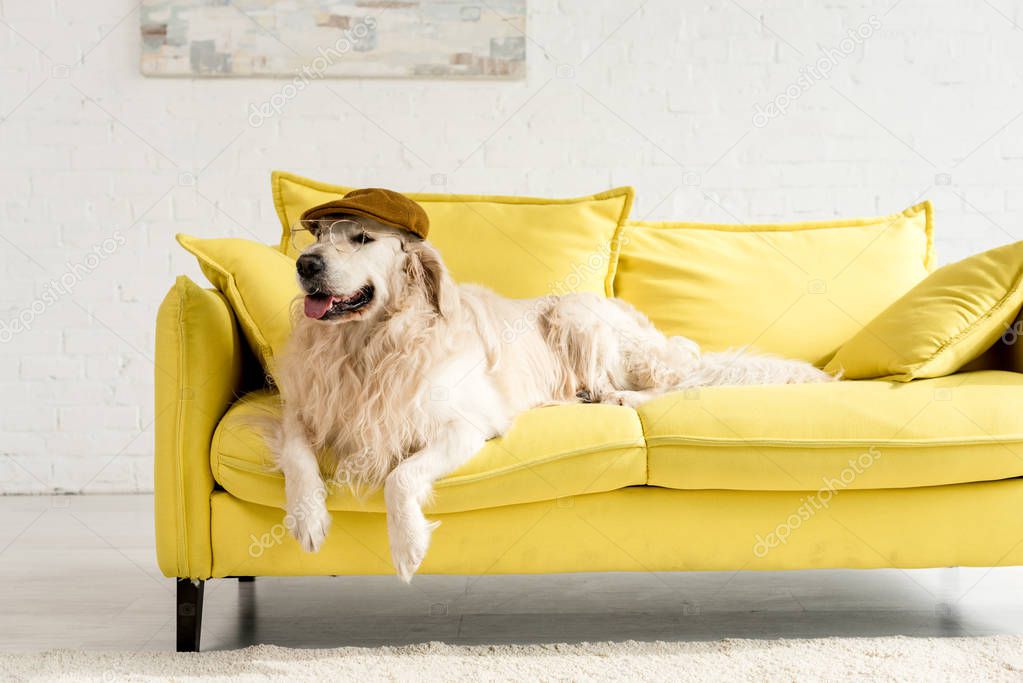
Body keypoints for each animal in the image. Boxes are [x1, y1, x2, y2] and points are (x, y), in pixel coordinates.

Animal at [276, 210, 834, 580]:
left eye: (362, 237)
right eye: (319, 236)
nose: (304, 264)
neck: (366, 349)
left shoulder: (467, 424)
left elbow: (400, 477)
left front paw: (408, 544)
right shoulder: (301, 410)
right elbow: (298, 455)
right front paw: (308, 519)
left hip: (578, 317)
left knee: (668, 385)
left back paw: (622, 401)